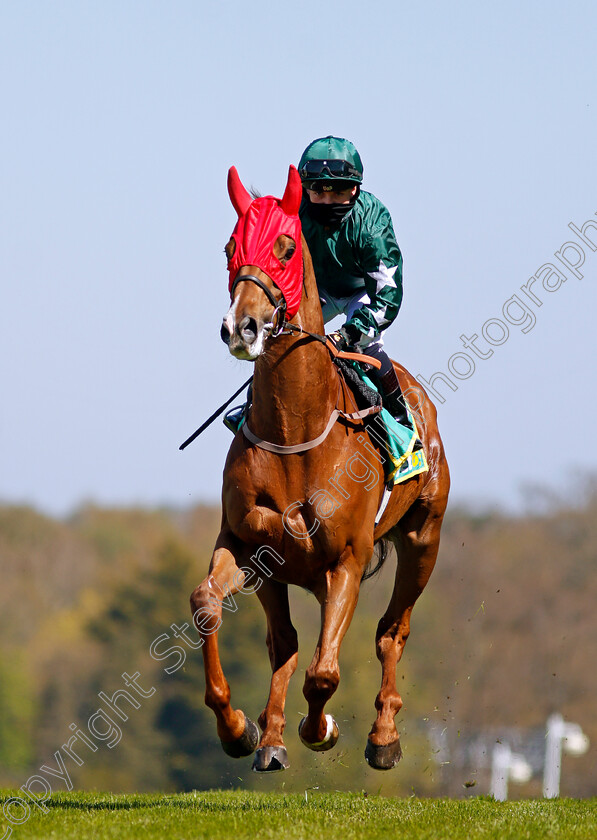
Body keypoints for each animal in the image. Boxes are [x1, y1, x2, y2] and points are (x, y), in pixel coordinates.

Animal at [189, 161, 450, 772]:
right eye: (230, 247)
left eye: (286, 247)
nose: (242, 327)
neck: (296, 430)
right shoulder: (247, 545)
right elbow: (208, 604)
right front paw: (240, 728)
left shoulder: (347, 558)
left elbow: (326, 672)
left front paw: (322, 728)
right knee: (283, 643)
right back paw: (271, 738)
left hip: (422, 539)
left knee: (391, 632)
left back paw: (382, 736)